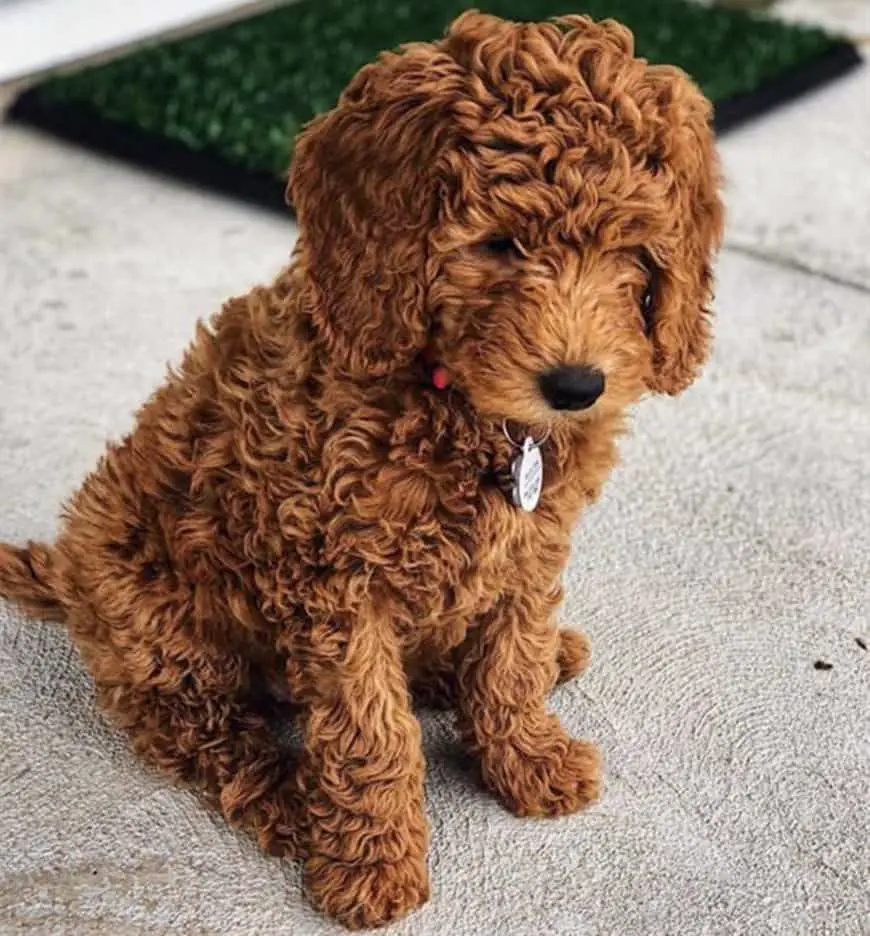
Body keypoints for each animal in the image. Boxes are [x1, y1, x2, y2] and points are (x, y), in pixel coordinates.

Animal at [0, 12, 724, 928]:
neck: (457, 403)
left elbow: (510, 655)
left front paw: (525, 757)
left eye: (631, 249)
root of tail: (67, 568)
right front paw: (373, 863)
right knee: (208, 734)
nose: (576, 386)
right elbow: (370, 729)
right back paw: (289, 802)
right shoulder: (335, 583)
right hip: (161, 625)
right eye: (499, 244)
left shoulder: (532, 544)